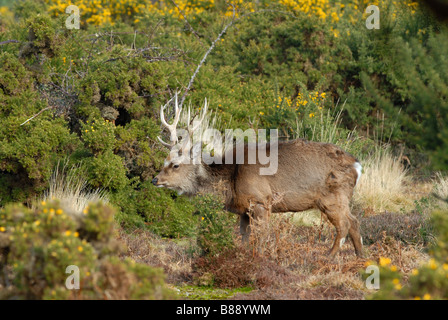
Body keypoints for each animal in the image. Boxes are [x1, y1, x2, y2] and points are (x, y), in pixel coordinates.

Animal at [152, 95, 362, 258]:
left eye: (175, 165)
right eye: (164, 161)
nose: (155, 180)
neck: (230, 182)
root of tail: (357, 165)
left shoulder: (261, 200)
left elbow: (261, 236)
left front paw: (259, 258)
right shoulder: (244, 210)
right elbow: (244, 238)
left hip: (332, 196)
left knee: (344, 224)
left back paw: (329, 256)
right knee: (354, 221)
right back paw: (361, 257)